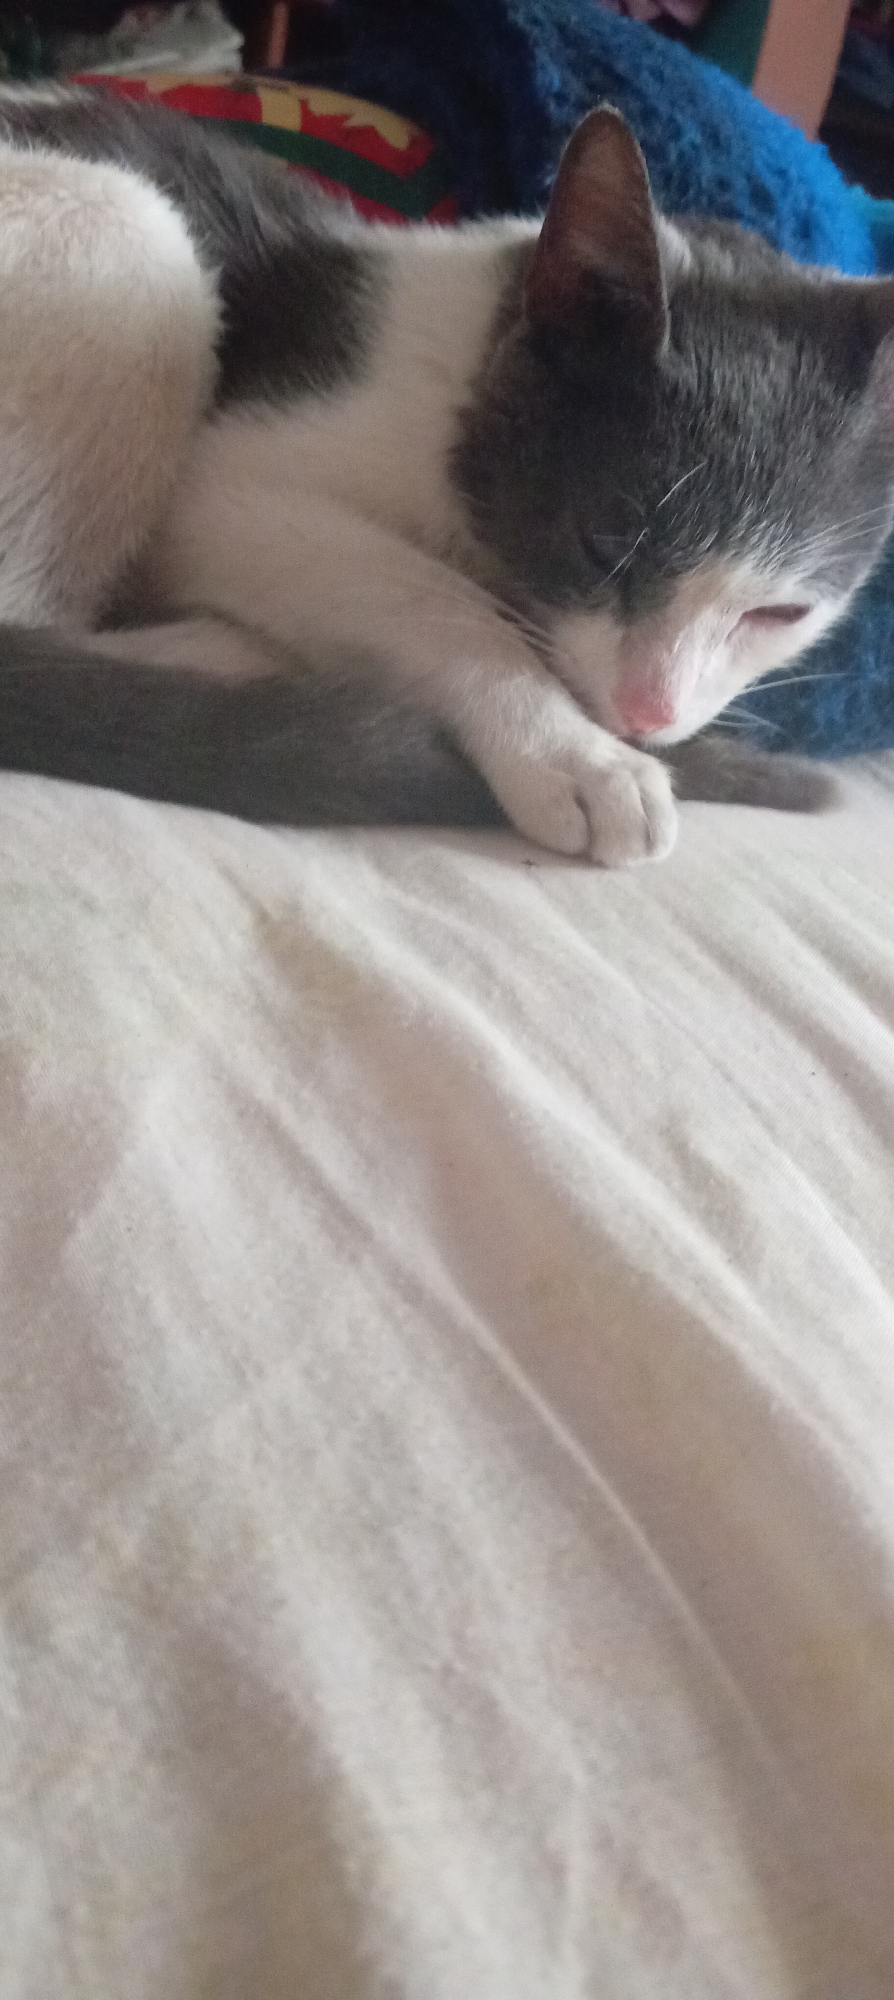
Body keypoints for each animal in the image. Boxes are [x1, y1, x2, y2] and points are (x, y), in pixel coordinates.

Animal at [0, 85, 889, 862]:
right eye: (605, 547)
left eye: (781, 613)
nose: (648, 714)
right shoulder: (223, 488)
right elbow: (428, 594)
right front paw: (577, 754)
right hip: (124, 229)